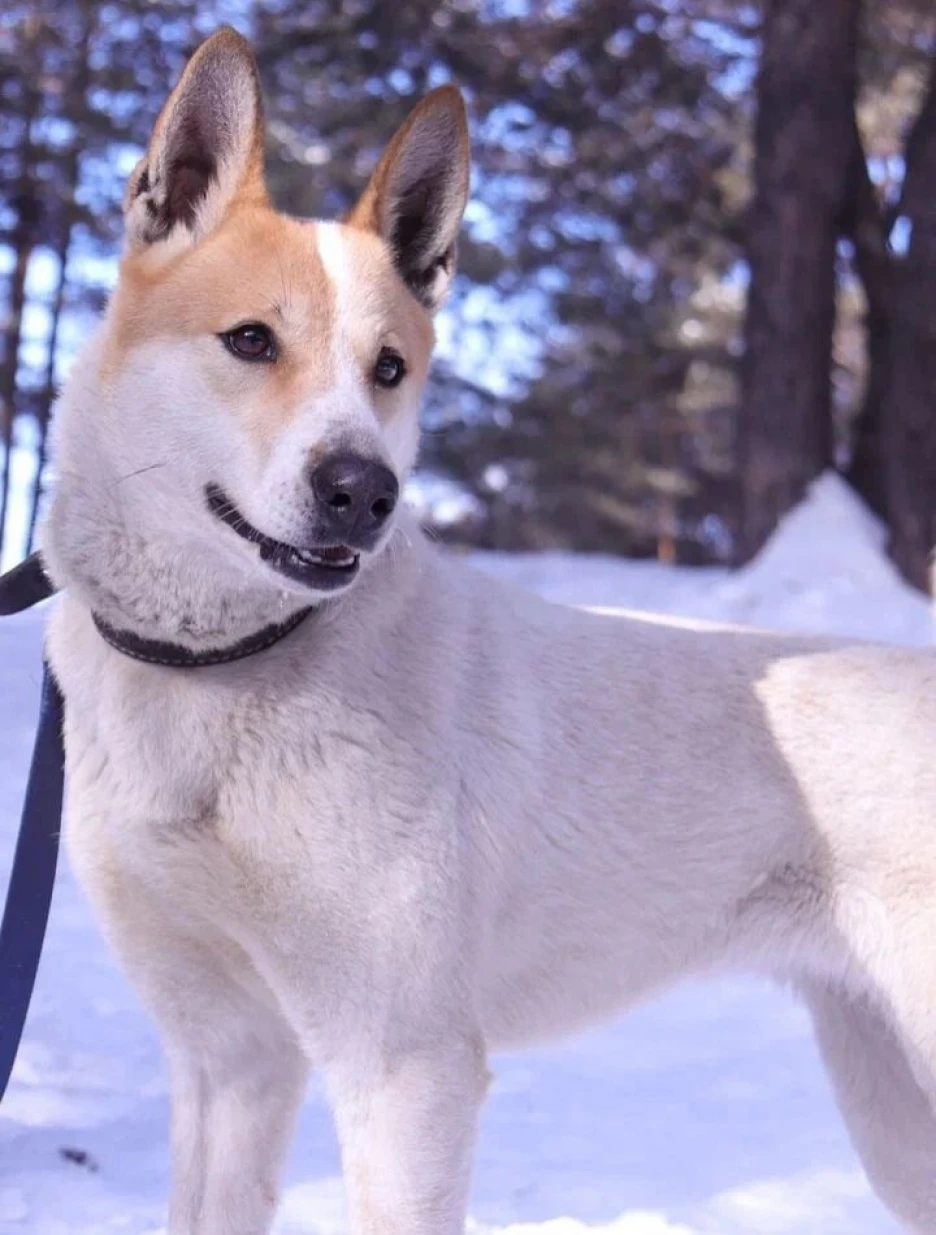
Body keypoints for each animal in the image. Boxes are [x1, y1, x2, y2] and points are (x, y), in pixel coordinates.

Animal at [40, 21, 936, 1235]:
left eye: (389, 368)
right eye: (250, 341)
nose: (363, 492)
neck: (224, 666)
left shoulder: (405, 1069)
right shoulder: (229, 1060)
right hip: (889, 1102)